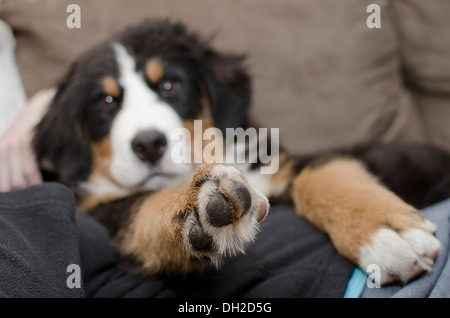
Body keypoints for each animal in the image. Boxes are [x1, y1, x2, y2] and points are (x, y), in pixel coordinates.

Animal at [32, 18, 450, 284]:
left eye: (169, 85)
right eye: (106, 102)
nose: (148, 144)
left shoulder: (278, 164)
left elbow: (325, 174)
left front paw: (386, 235)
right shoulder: (108, 215)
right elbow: (145, 207)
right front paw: (199, 210)